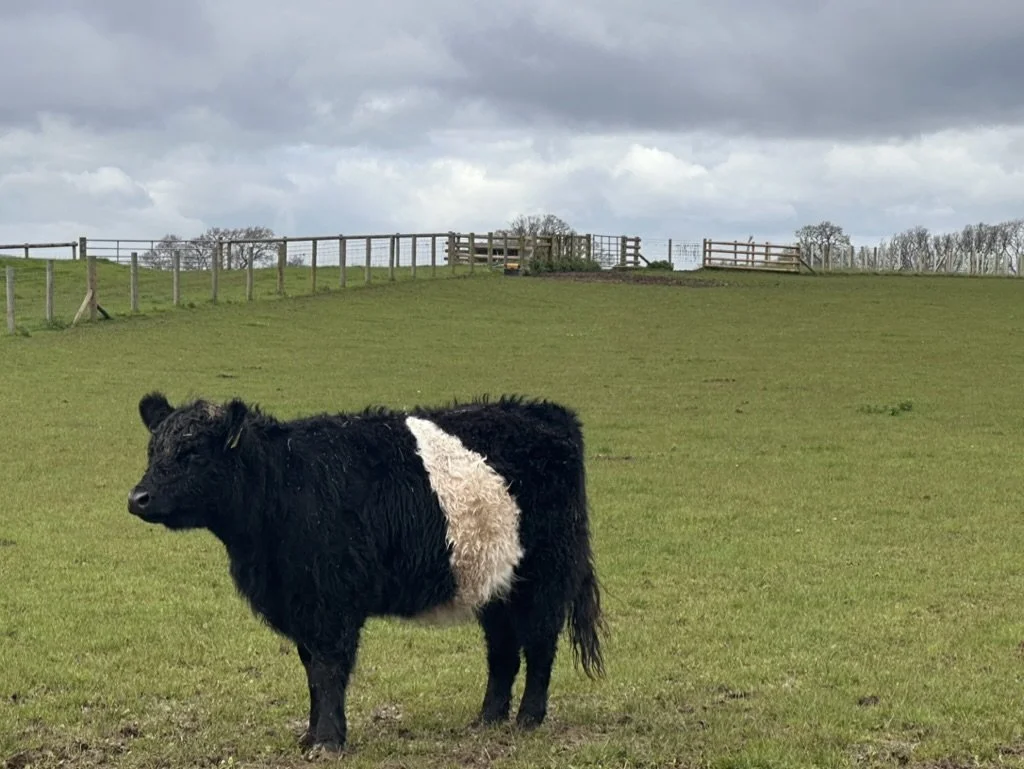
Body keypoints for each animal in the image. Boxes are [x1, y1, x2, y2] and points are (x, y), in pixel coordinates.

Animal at [126, 391, 606, 753]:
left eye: (190, 452)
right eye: (152, 450)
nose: (137, 497)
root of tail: (547, 412)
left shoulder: (332, 605)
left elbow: (328, 669)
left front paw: (328, 742)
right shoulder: (302, 605)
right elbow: (312, 672)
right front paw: (310, 736)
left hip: (543, 576)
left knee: (540, 644)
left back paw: (528, 719)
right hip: (494, 580)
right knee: (503, 649)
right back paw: (487, 718)